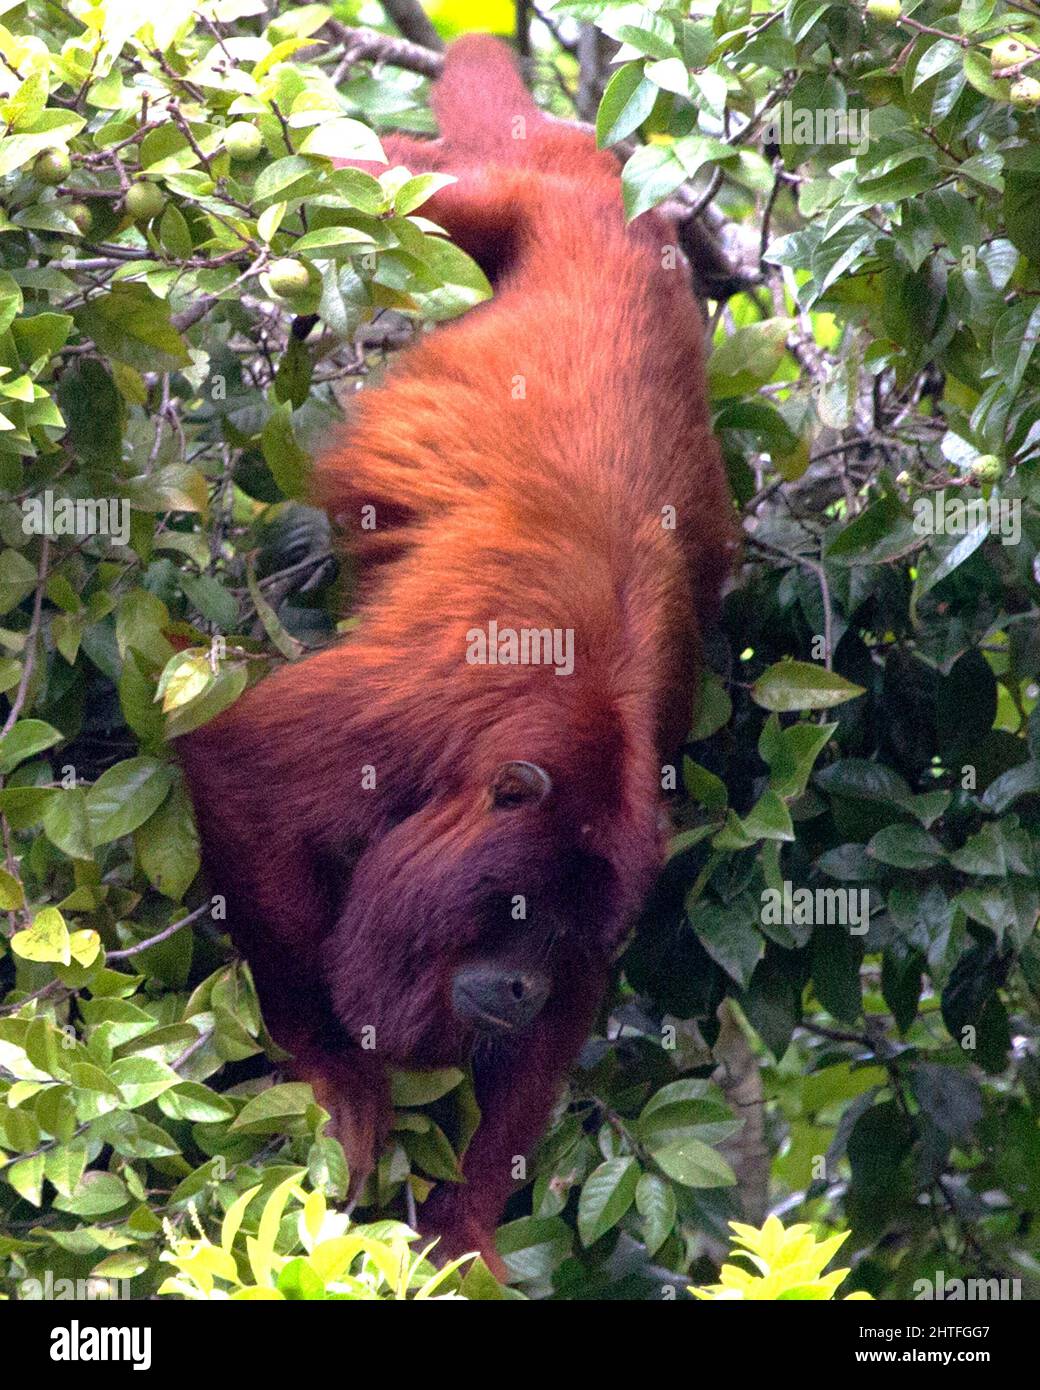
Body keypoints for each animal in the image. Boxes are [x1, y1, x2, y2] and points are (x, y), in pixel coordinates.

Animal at [179, 32, 734, 1273]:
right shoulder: (425, 704)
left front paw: (464, 1220)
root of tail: (610, 200)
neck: (574, 731)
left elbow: (567, 1023)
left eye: (557, 937)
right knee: (392, 181)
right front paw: (337, 1070)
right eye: (514, 915)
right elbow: (240, 764)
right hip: (496, 191)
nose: (519, 987)